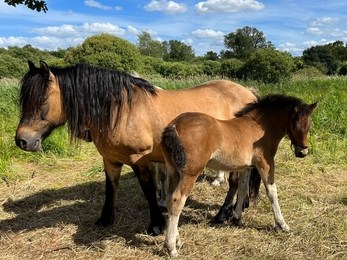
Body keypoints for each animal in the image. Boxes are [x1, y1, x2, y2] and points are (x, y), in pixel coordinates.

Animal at [14, 60, 258, 236]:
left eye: (42, 101)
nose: (22, 141)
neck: (120, 110)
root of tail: (248, 93)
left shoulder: (140, 159)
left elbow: (148, 191)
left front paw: (156, 226)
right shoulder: (110, 160)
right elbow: (111, 189)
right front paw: (104, 220)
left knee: (234, 182)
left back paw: (223, 213)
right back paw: (240, 206)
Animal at [162, 94, 318, 256]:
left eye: (309, 126)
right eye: (294, 127)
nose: (303, 152)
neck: (260, 126)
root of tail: (175, 125)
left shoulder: (246, 167)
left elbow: (242, 189)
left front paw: (237, 219)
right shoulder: (265, 163)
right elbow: (272, 192)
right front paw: (282, 225)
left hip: (174, 172)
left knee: (169, 198)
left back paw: (177, 241)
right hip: (190, 174)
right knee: (177, 200)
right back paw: (171, 247)